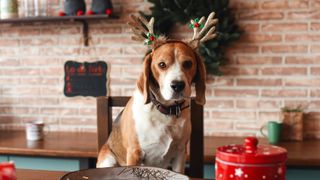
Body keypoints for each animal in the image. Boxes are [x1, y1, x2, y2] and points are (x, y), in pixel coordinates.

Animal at [96, 12, 216, 173]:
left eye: (188, 63)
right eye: (162, 64)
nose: (177, 85)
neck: (165, 111)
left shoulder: (180, 153)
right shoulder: (134, 153)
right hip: (108, 160)